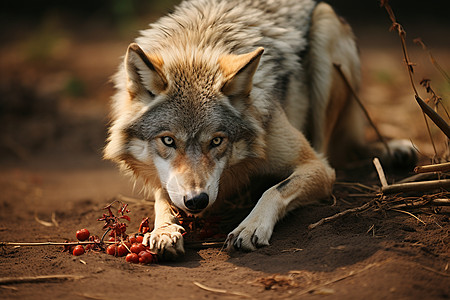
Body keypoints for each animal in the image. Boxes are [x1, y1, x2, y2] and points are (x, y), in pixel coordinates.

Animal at [103, 0, 414, 258]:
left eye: (217, 141)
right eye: (168, 141)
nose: (197, 201)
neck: (196, 45)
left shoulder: (317, 167)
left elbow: (275, 190)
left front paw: (250, 226)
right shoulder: (163, 181)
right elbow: (162, 197)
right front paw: (164, 230)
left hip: (326, 31)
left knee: (342, 149)